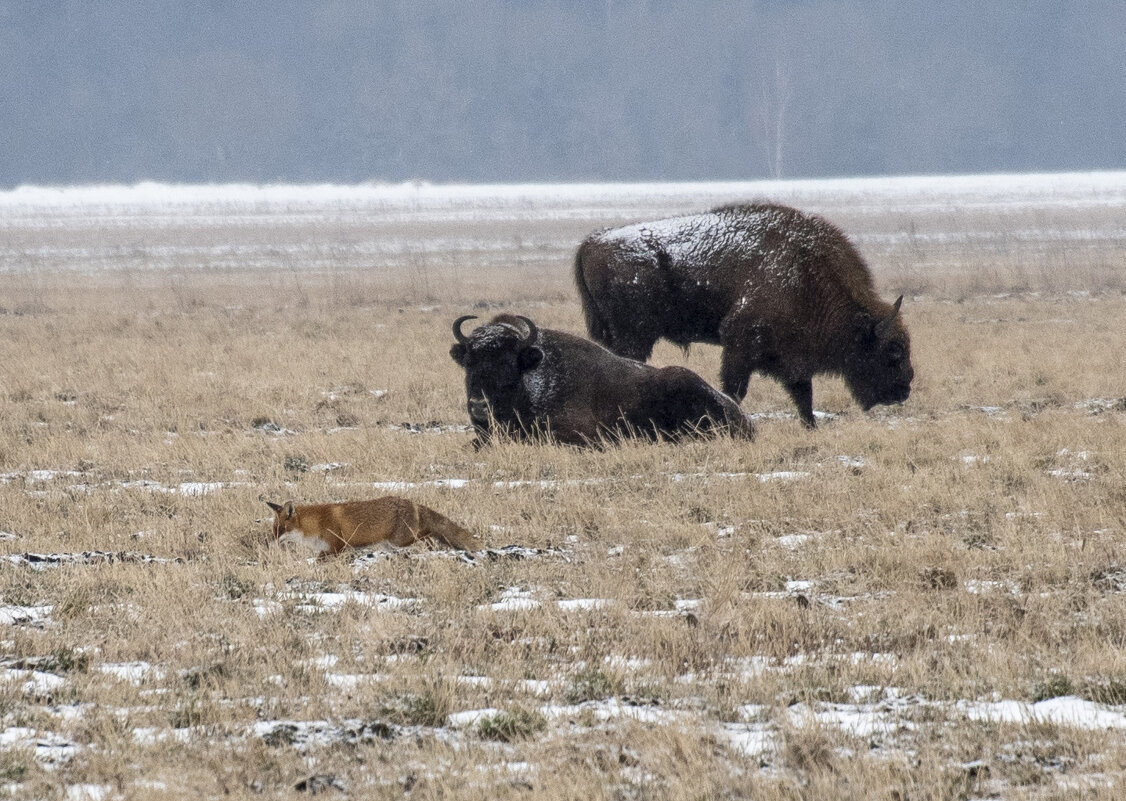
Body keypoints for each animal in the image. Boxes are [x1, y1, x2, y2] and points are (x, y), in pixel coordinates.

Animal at [265, 495, 477, 558]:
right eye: (274, 529)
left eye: (281, 529)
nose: (269, 543)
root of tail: (412, 502)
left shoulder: (337, 546)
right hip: (390, 545)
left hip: (401, 540)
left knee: (429, 534)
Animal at [576, 203, 909, 430]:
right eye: (893, 351)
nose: (903, 390)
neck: (805, 273)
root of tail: (592, 242)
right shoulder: (741, 343)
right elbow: (734, 389)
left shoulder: (791, 356)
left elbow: (804, 394)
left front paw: (811, 427)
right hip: (634, 337)